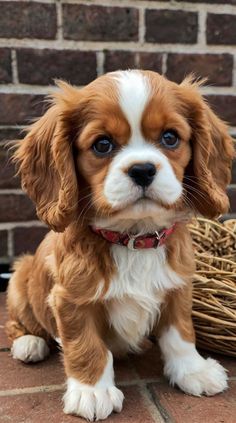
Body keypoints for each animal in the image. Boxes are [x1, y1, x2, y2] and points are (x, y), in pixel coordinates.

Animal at [5, 71, 234, 422]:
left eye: (170, 138)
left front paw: (193, 371)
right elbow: (86, 345)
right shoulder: (71, 300)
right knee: (17, 322)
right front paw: (92, 392)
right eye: (102, 145)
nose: (142, 169)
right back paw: (29, 344)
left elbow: (181, 332)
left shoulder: (178, 286)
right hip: (19, 279)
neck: (134, 239)